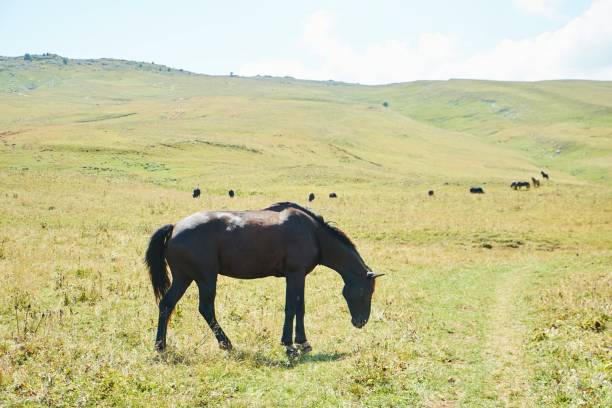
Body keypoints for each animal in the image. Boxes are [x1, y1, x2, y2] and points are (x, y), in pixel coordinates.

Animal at [145, 202, 382, 356]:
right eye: (366, 291)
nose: (361, 322)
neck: (313, 233)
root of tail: (174, 227)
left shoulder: (300, 276)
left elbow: (300, 308)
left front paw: (303, 343)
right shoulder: (294, 275)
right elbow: (291, 308)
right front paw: (290, 345)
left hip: (184, 278)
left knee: (166, 305)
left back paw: (160, 346)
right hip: (206, 279)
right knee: (205, 309)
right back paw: (226, 344)